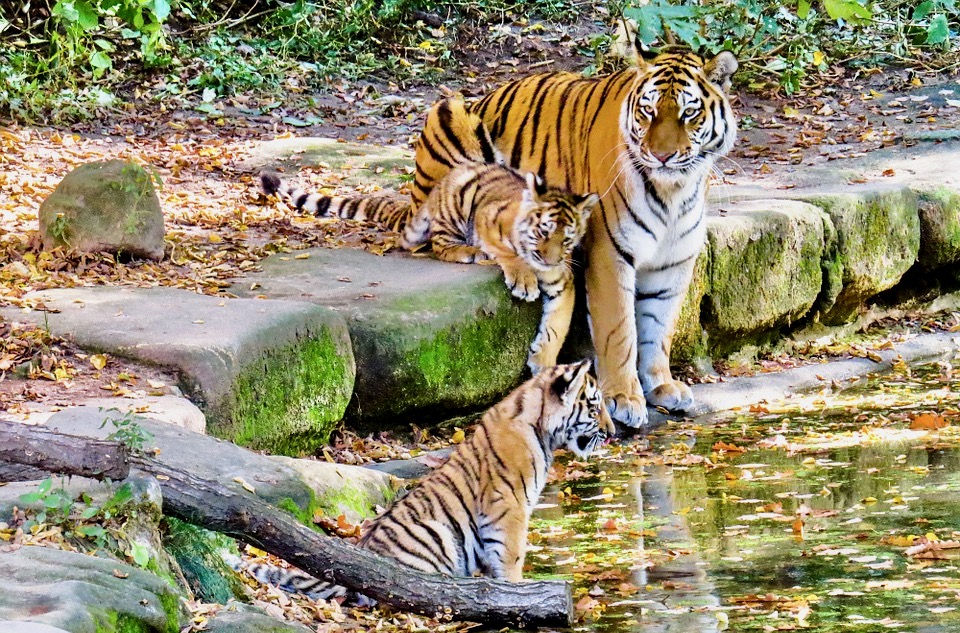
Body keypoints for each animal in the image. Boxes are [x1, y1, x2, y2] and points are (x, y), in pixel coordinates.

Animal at [410, 48, 736, 424]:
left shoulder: (674, 262)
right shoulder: (610, 252)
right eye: (648, 111)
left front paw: (661, 384)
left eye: (689, 113)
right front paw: (624, 397)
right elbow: (619, 329)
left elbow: (659, 326)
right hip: (449, 115)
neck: (674, 191)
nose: (661, 155)